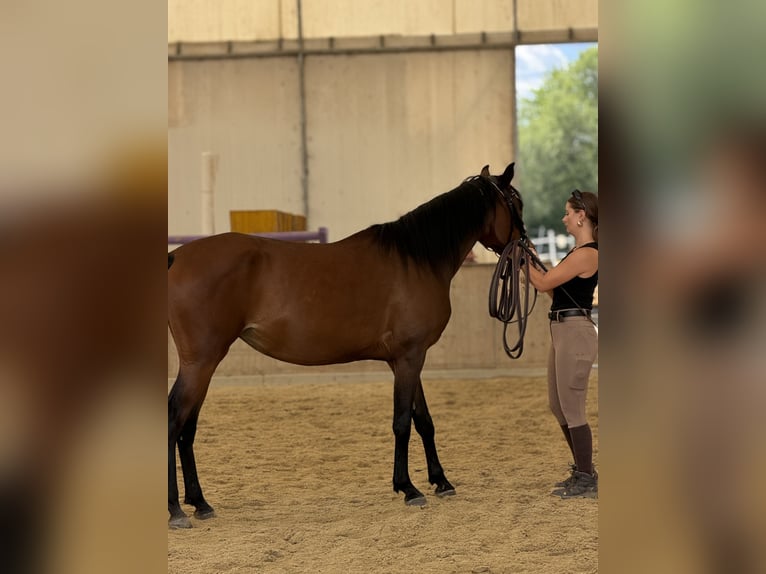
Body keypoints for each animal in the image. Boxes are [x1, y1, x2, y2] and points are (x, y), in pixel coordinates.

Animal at [167, 163, 526, 528]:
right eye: (516, 203)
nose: (524, 252)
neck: (416, 260)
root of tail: (175, 257)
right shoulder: (410, 357)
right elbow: (402, 422)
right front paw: (409, 488)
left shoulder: (407, 358)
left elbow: (423, 420)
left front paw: (441, 481)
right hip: (201, 362)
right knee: (174, 422)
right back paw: (176, 510)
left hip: (203, 366)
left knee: (187, 428)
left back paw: (199, 503)